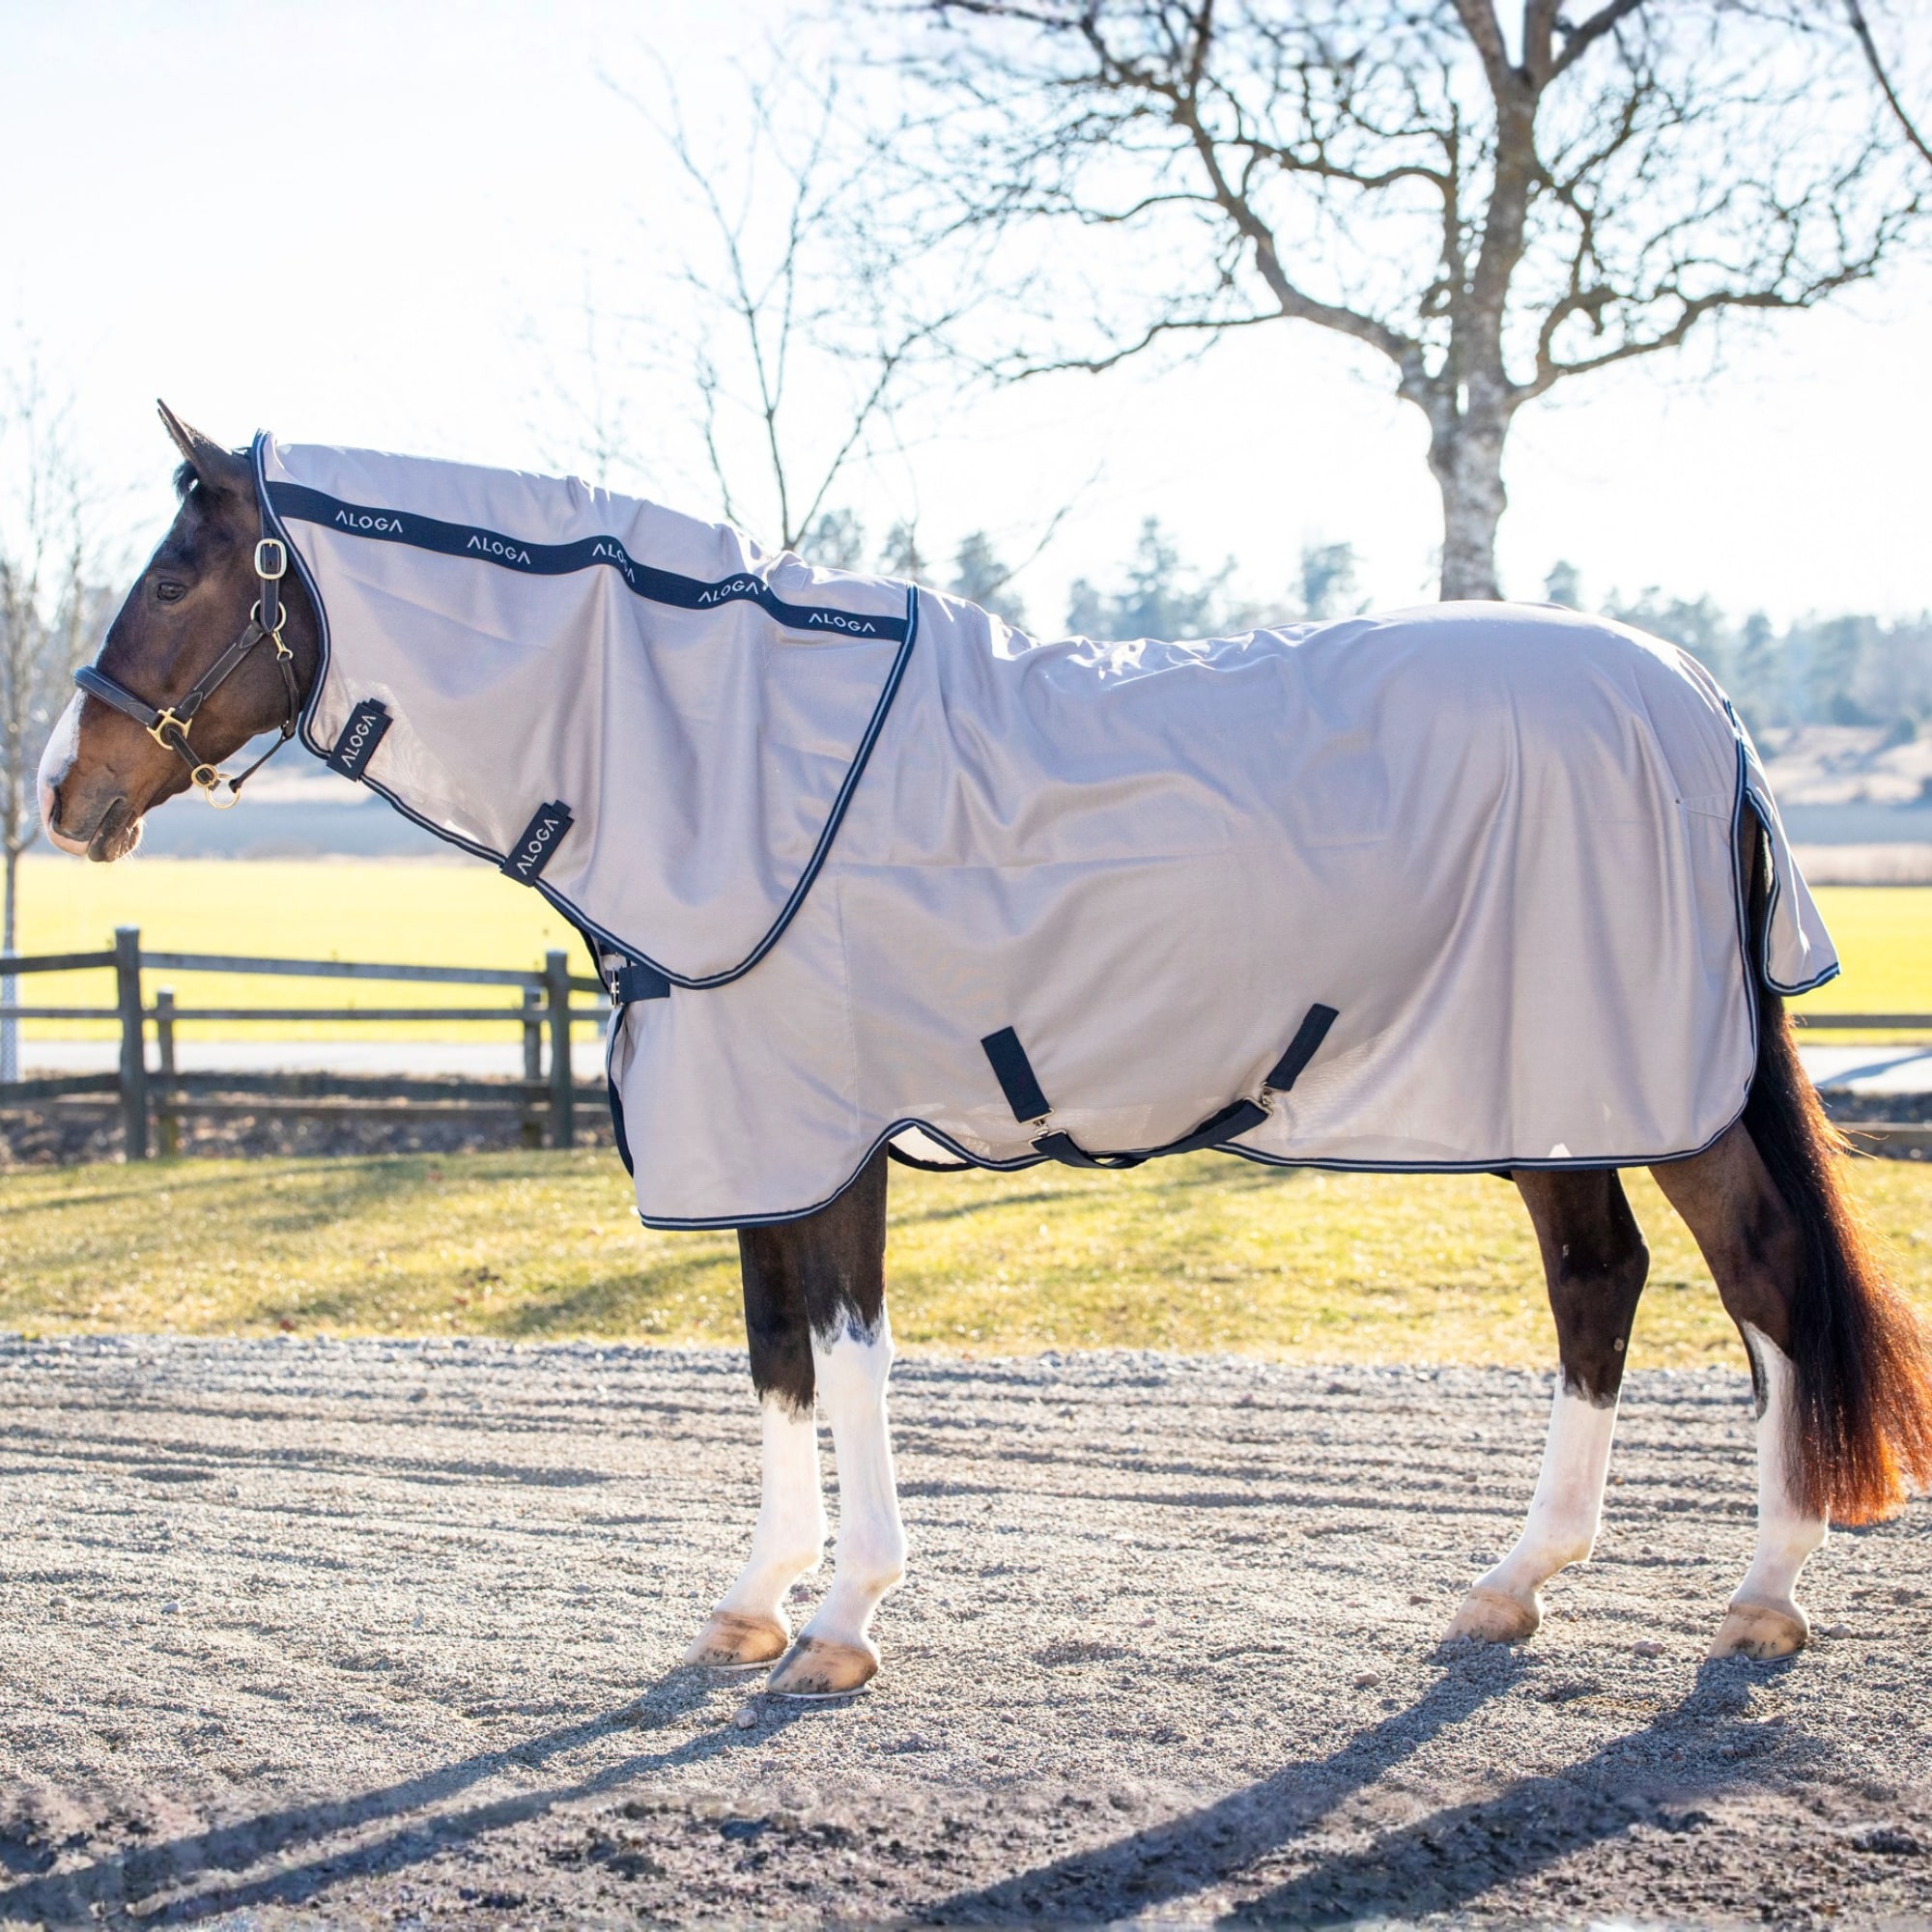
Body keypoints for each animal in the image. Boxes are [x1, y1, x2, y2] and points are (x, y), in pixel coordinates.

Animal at [39, 405, 1932, 1699]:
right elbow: (775, 1367)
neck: (723, 755)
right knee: (1604, 1288)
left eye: (176, 571)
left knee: (1766, 1287)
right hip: (1559, 1090)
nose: (62, 796)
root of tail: (1703, 706)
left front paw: (846, 1619)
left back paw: (1762, 1599)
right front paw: (756, 1603)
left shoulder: (828, 1136)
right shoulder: (755, 1140)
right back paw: (1516, 1584)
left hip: (1655, 1091)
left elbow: (853, 1358)